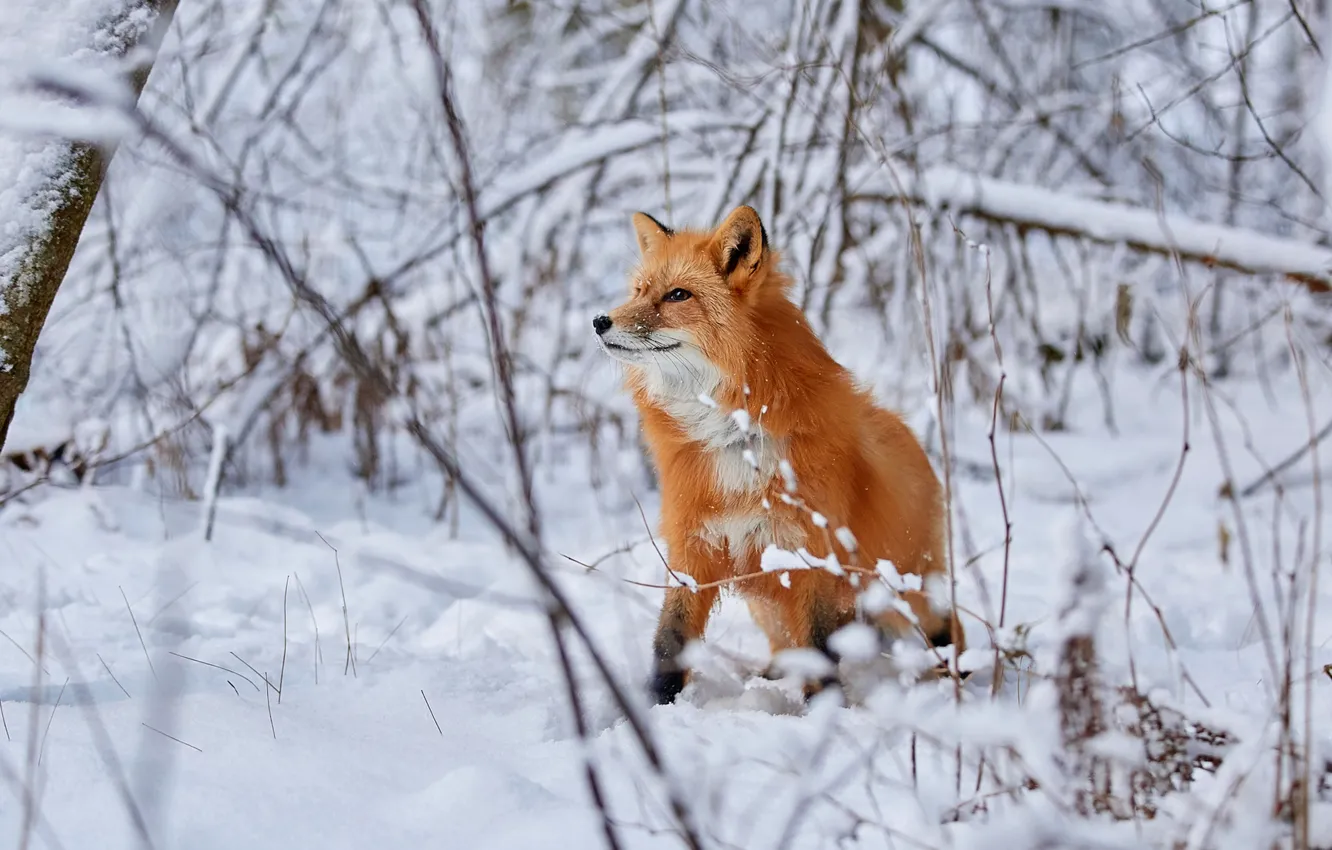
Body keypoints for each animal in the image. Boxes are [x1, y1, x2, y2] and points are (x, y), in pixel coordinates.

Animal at [593, 204, 965, 705]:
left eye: (677, 295)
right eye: (638, 291)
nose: (600, 321)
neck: (734, 440)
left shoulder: (813, 555)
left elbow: (822, 649)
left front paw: (826, 710)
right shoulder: (693, 546)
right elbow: (670, 638)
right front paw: (656, 706)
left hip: (906, 589)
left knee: (944, 626)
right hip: (770, 600)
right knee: (787, 643)